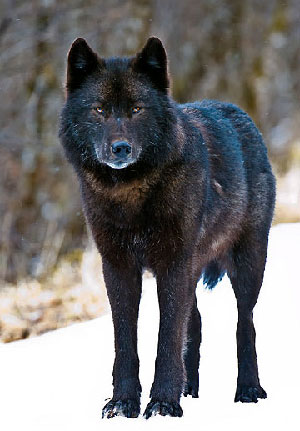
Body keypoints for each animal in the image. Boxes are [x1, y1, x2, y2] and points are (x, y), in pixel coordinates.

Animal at [59, 36, 276, 418]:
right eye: (99, 110)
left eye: (137, 109)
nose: (120, 148)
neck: (130, 198)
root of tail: (240, 113)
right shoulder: (118, 269)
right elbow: (126, 342)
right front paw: (122, 403)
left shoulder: (173, 264)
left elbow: (167, 339)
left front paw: (162, 403)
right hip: (195, 269)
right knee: (197, 323)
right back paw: (190, 388)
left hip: (248, 265)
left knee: (244, 325)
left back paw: (248, 389)